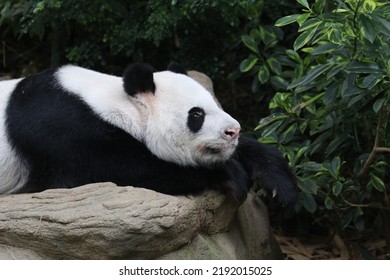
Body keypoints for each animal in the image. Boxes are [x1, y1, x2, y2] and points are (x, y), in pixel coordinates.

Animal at [0, 63, 296, 203]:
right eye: (197, 114)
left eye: (215, 104)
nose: (232, 131)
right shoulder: (63, 132)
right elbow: (125, 169)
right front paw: (231, 175)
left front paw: (279, 185)